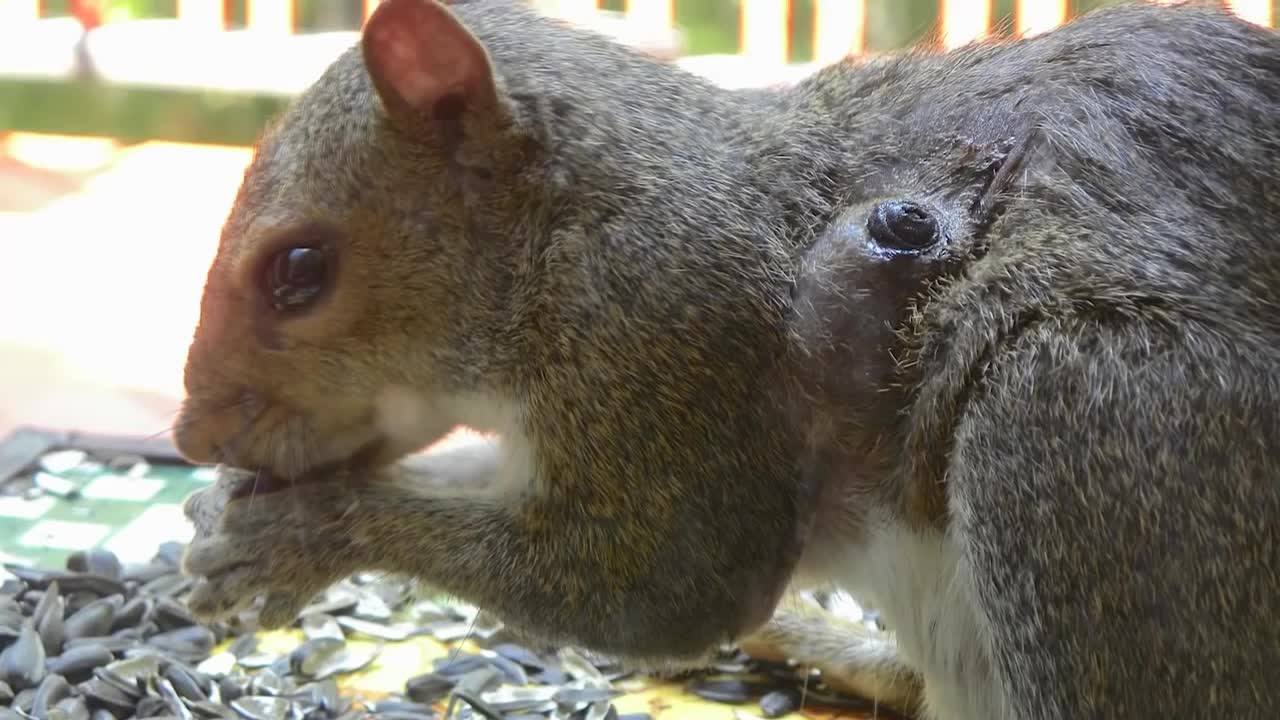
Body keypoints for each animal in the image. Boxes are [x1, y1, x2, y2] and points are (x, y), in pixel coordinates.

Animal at [173, 0, 1280, 718]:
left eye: (300, 272)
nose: (191, 434)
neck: (575, 223)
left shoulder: (676, 345)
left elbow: (664, 586)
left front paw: (301, 537)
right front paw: (223, 519)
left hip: (1085, 440)